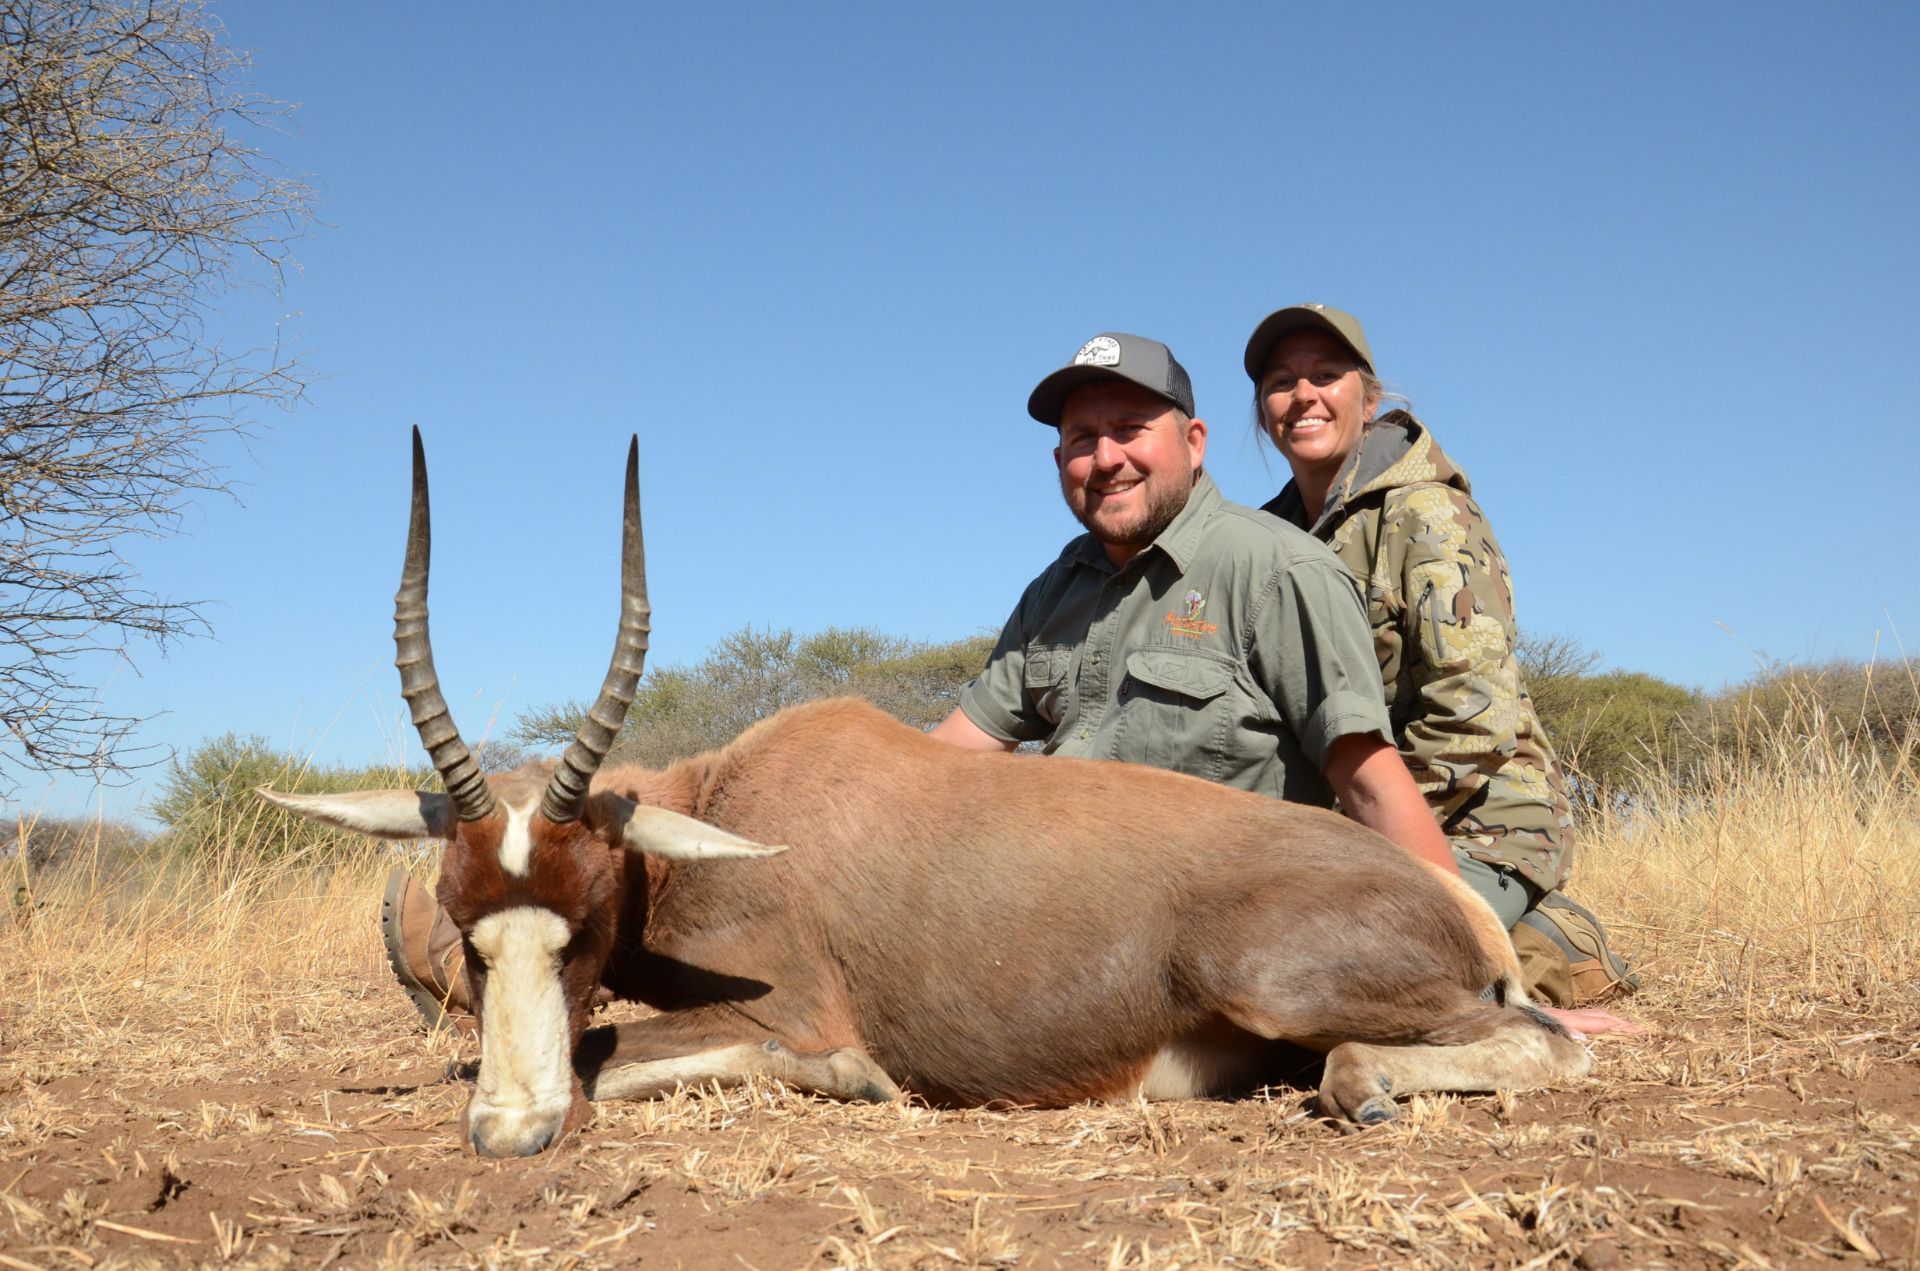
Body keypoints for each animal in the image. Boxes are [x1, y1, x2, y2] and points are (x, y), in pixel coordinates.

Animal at [262, 431, 1592, 1157]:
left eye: (583, 920)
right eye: (467, 928)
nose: (514, 1132)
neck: (736, 800)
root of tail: (1458, 908)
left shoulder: (789, 1008)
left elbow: (612, 1041)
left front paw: (856, 1080)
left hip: (1278, 982)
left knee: (1523, 1047)